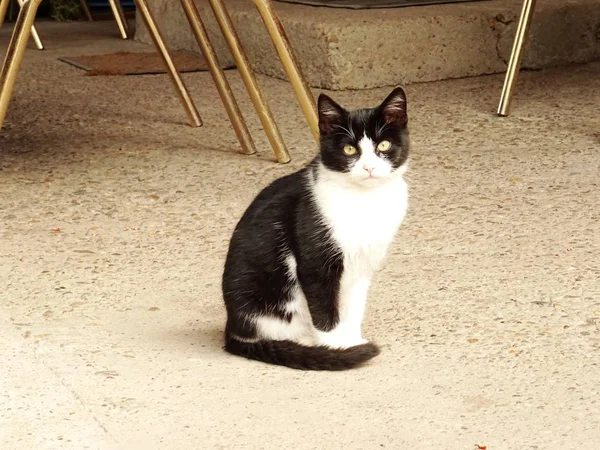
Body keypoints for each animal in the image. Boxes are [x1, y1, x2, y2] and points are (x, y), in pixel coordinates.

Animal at [223, 86, 410, 370]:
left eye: (383, 145)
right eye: (349, 149)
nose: (368, 167)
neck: (365, 201)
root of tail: (231, 329)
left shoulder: (364, 263)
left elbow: (354, 307)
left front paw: (351, 340)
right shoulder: (316, 263)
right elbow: (324, 311)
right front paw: (337, 350)